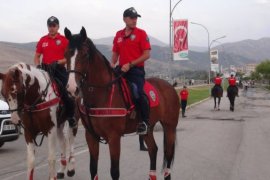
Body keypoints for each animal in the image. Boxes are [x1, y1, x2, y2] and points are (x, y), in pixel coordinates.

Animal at [64, 27, 180, 180]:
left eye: (85, 54)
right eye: (66, 54)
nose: (72, 88)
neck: (101, 94)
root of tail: (170, 86)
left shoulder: (114, 137)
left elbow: (114, 171)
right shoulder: (91, 136)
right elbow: (93, 169)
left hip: (170, 127)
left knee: (168, 153)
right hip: (148, 128)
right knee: (153, 149)